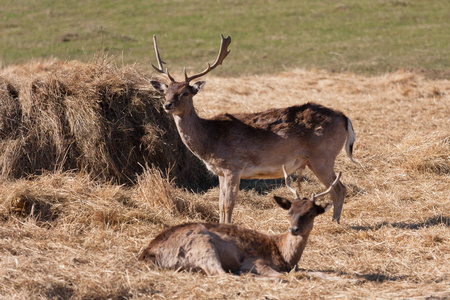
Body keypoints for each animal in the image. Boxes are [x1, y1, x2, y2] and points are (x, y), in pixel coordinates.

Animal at [139, 168, 340, 280]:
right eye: (289, 212)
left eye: (311, 213)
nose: (294, 229)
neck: (284, 255)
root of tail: (148, 253)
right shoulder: (255, 261)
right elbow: (290, 274)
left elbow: (314, 272)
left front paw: (347, 280)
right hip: (202, 244)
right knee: (221, 274)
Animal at [149, 34, 356, 224]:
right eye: (166, 92)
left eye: (185, 93)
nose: (167, 105)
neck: (209, 139)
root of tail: (345, 118)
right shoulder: (221, 172)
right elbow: (220, 204)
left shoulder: (233, 166)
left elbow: (229, 204)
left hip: (322, 156)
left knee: (339, 189)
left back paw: (335, 223)